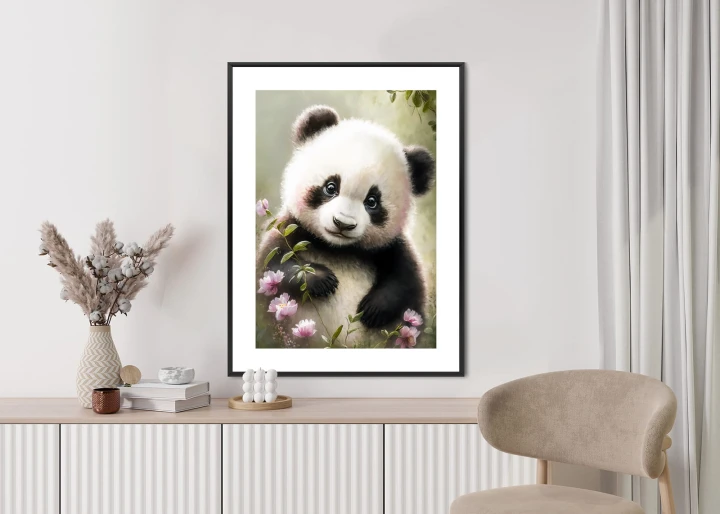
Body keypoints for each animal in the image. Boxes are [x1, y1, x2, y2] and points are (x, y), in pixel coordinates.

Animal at [256, 105, 435, 347]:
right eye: (331, 187)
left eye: (372, 201)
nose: (342, 223)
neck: (338, 249)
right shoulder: (290, 230)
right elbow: (273, 267)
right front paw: (322, 280)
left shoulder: (391, 248)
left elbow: (406, 284)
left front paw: (374, 308)